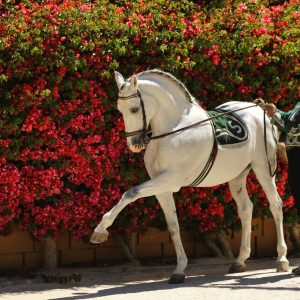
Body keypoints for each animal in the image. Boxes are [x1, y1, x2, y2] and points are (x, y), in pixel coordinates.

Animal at [90, 69, 290, 284]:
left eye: (134, 109)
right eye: (120, 109)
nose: (134, 144)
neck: (176, 128)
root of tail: (262, 112)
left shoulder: (170, 180)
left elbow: (130, 193)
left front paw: (100, 230)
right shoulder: (162, 189)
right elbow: (173, 226)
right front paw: (179, 270)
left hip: (264, 170)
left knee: (276, 205)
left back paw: (282, 259)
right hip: (237, 176)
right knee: (246, 209)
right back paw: (240, 261)